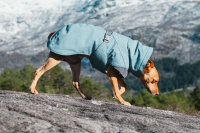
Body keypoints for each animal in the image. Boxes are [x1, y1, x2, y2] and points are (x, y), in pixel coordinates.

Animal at [29, 23, 159, 105]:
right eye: (154, 81)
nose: (157, 93)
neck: (131, 53)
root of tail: (56, 31)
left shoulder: (116, 70)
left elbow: (124, 86)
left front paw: (117, 94)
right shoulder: (111, 71)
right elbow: (118, 90)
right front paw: (122, 101)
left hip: (75, 63)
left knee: (75, 82)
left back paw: (85, 96)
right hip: (56, 57)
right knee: (38, 71)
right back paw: (32, 89)